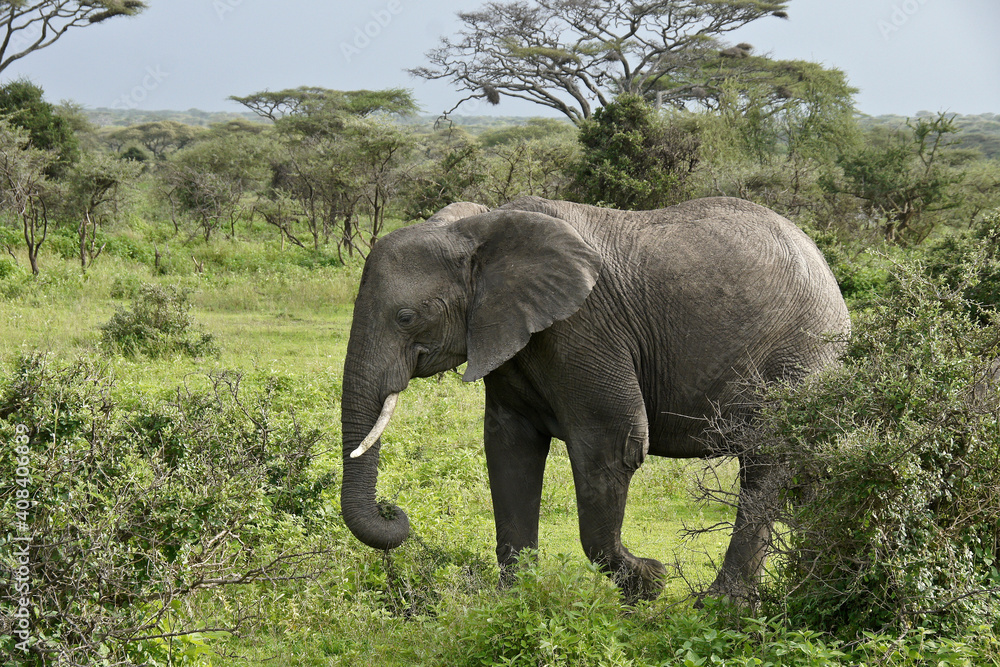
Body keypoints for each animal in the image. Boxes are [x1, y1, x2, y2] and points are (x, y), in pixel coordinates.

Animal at [340, 195, 850, 602]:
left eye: (405, 318)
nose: (391, 509)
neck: (479, 229)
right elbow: (509, 450)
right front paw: (512, 602)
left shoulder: (584, 330)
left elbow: (611, 445)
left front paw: (650, 583)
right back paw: (818, 585)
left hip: (799, 357)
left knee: (766, 466)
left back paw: (723, 607)